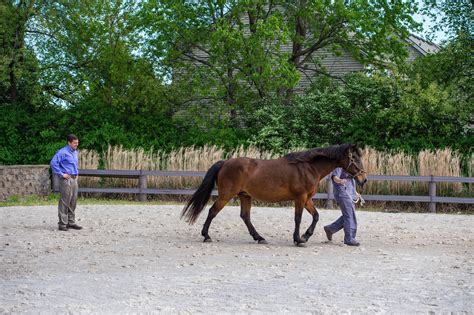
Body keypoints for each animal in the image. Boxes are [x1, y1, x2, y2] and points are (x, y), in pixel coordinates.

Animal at [181, 144, 366, 247]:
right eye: (355, 158)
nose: (363, 179)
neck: (308, 167)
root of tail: (225, 162)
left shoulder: (307, 199)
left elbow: (316, 216)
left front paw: (305, 236)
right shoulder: (300, 198)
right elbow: (298, 218)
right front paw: (298, 239)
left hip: (245, 196)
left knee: (245, 216)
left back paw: (259, 238)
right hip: (226, 195)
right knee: (212, 211)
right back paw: (206, 236)